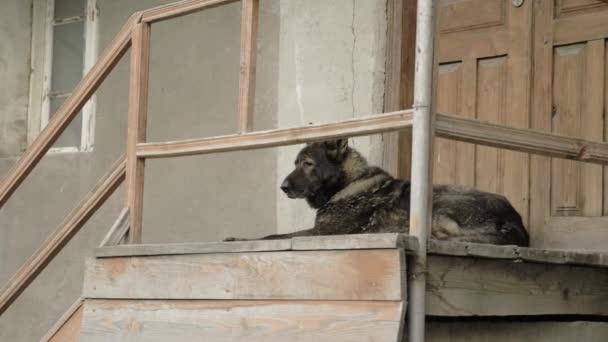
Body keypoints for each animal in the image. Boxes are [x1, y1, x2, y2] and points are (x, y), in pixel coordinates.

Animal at [226, 138, 528, 246]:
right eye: (295, 164)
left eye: (308, 164)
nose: (284, 187)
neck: (347, 183)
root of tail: (518, 225)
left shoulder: (322, 232)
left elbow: (275, 235)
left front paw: (237, 238)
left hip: (438, 200)